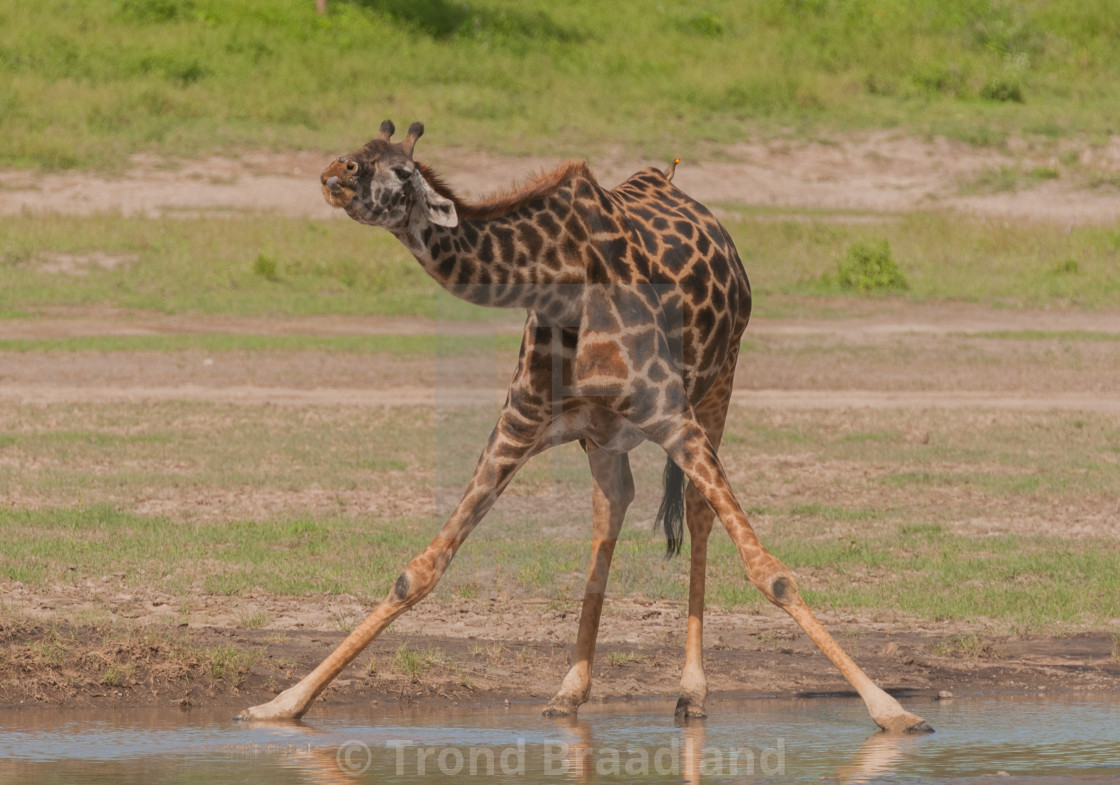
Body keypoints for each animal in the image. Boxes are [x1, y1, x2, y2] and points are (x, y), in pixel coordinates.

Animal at [240, 119, 931, 730]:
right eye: (358, 151)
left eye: (402, 171)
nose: (334, 173)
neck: (560, 284)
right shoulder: (520, 423)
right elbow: (420, 570)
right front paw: (281, 705)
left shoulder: (670, 412)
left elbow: (771, 571)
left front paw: (891, 710)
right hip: (604, 438)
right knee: (612, 511)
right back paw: (570, 691)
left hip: (718, 386)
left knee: (697, 515)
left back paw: (691, 693)